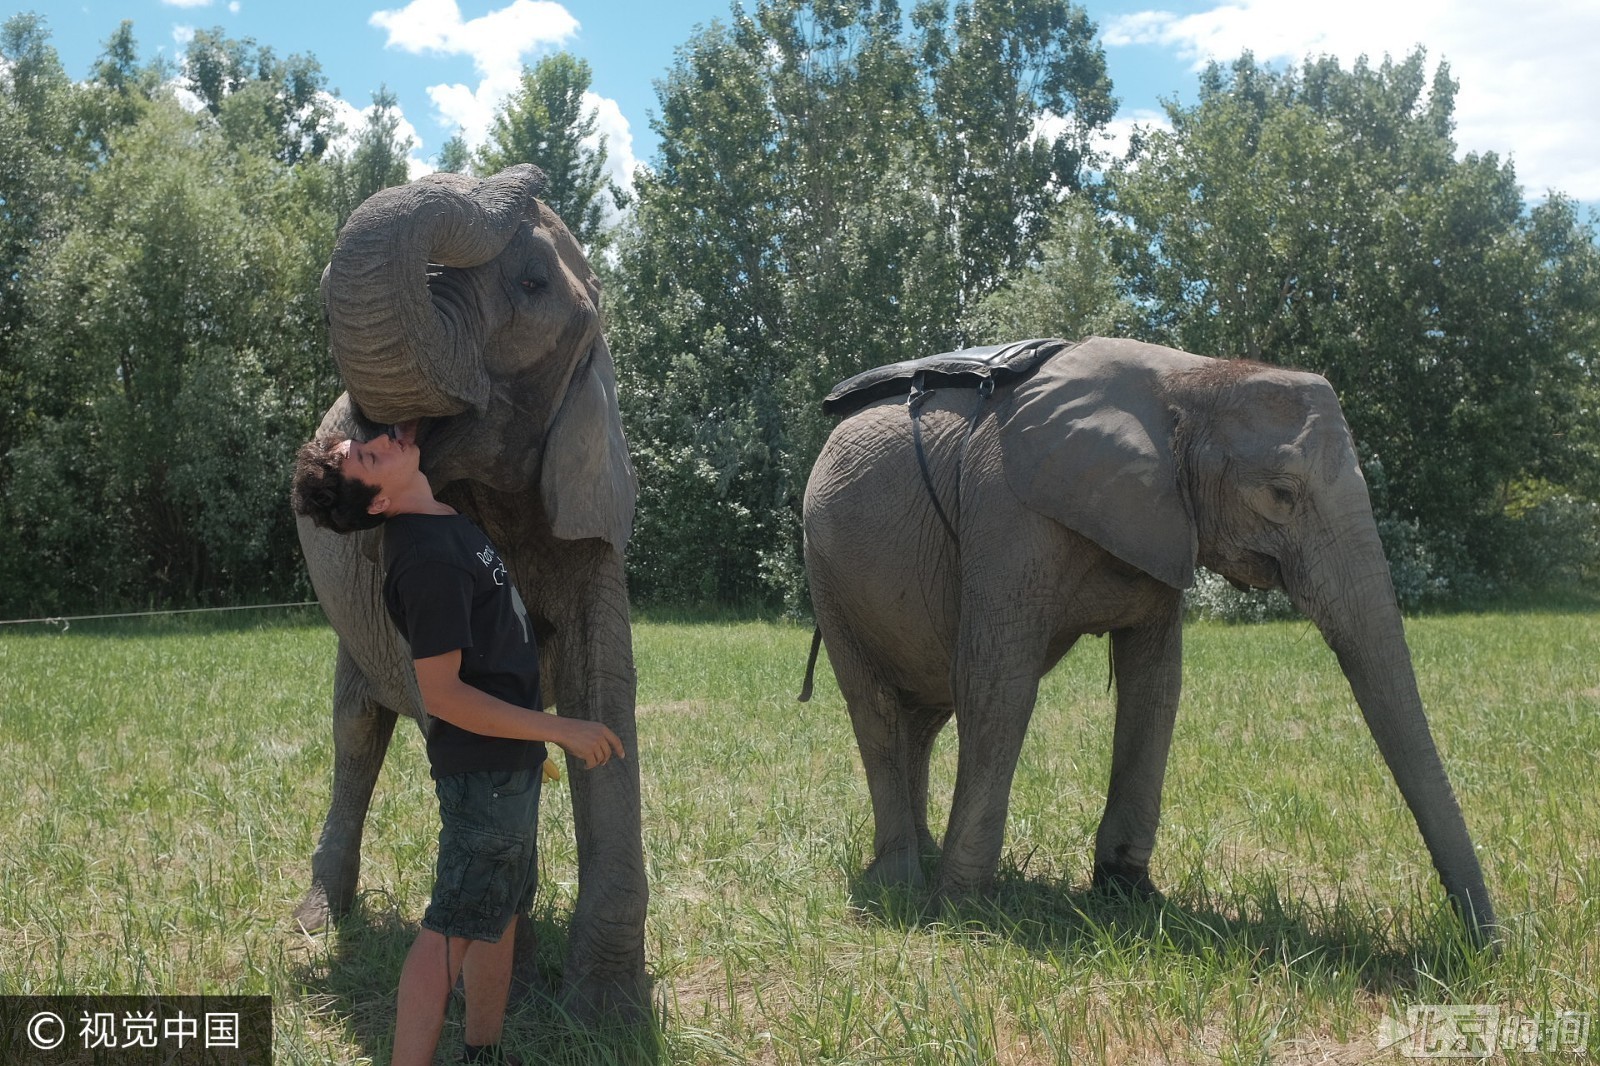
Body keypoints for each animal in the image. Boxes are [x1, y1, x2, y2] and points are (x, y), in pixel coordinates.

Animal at [812, 332, 1497, 941]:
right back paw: (900, 882)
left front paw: (1130, 895)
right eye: (1280, 493)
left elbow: (1156, 683)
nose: (1487, 947)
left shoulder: (1162, 522)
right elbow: (996, 682)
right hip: (826, 571)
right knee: (876, 709)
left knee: (923, 718)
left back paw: (919, 862)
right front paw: (962, 912)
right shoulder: (1006, 511)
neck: (1189, 378)